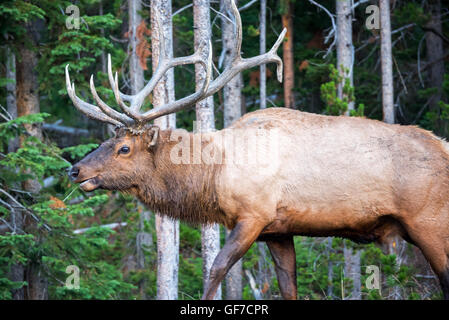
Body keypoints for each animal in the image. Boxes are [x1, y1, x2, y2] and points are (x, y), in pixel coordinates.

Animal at [65, 0, 448, 300]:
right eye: (108, 140)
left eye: (124, 148)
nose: (75, 169)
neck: (213, 174)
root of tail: (443, 147)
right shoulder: (278, 231)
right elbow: (288, 286)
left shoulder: (253, 215)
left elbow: (216, 269)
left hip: (428, 221)